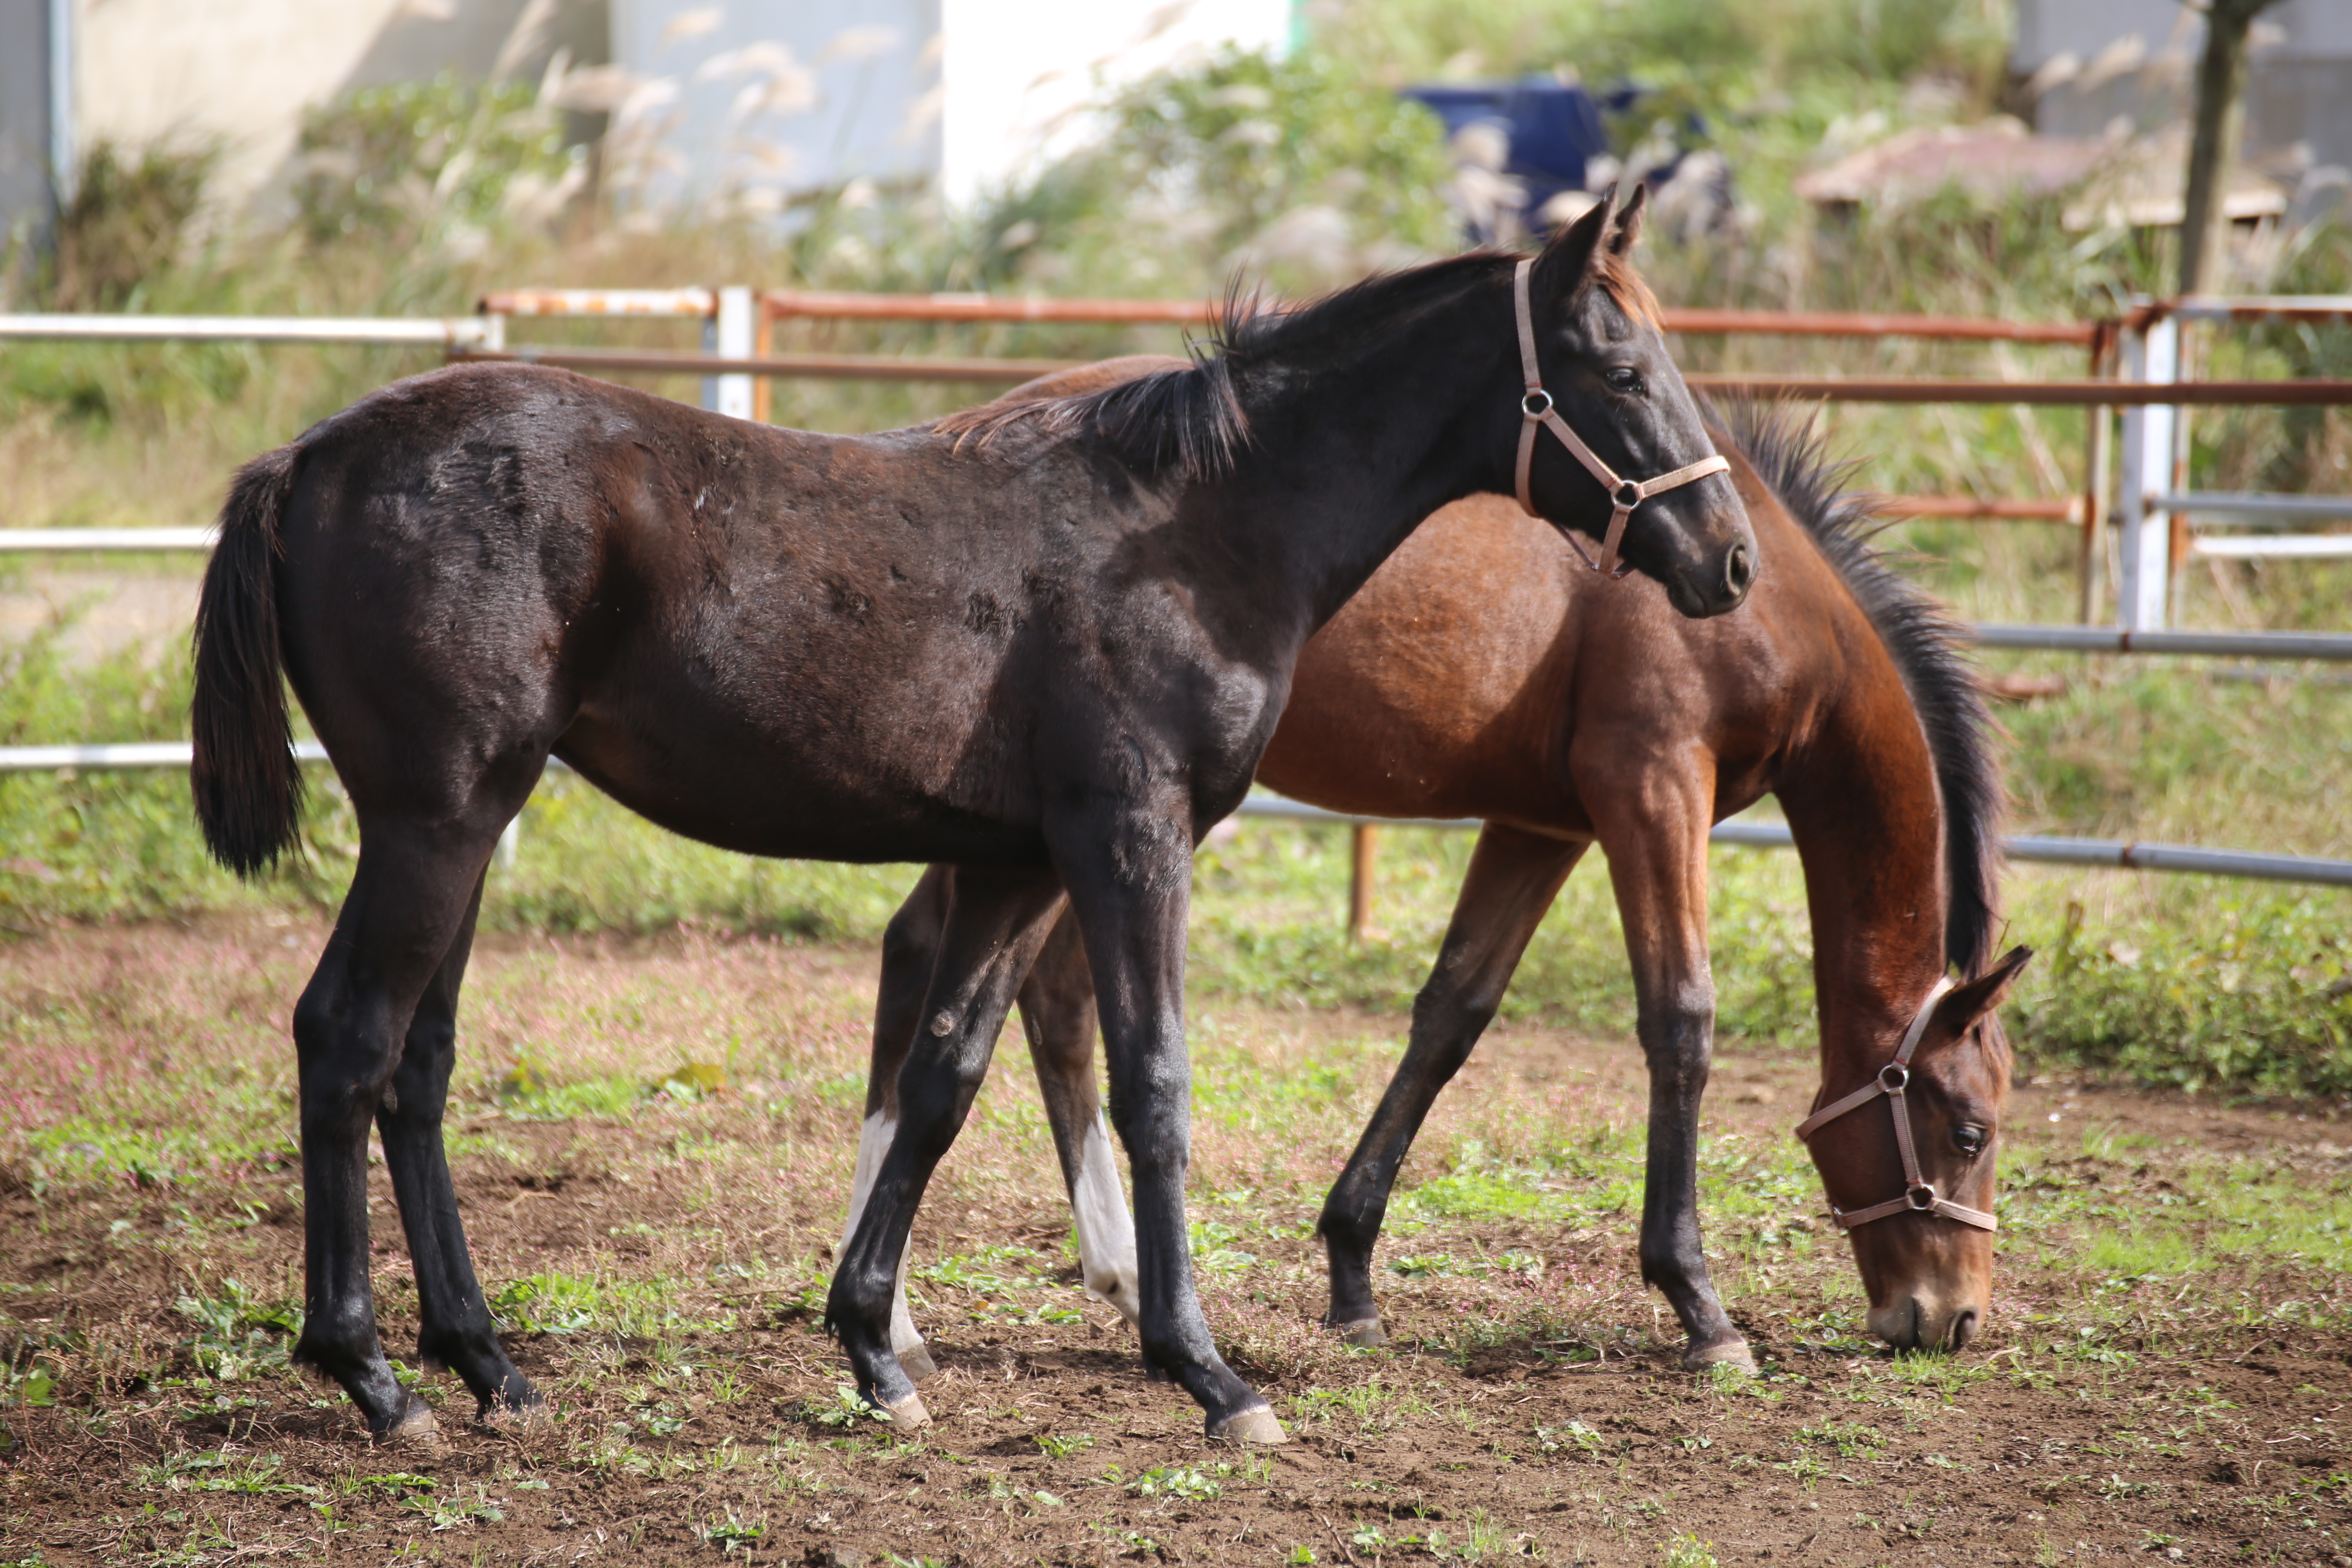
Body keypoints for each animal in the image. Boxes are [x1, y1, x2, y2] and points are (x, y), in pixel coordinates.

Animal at [188, 187, 1750, 1448]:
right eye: (1620, 367)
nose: (1728, 561)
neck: (1199, 530)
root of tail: (308, 458)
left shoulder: (1013, 864)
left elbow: (943, 1079)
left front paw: (875, 1350)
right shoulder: (1130, 842)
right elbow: (1155, 1083)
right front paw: (1208, 1373)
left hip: (462, 824)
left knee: (419, 1066)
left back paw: (489, 1368)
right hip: (436, 818)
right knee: (347, 1038)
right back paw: (375, 1379)